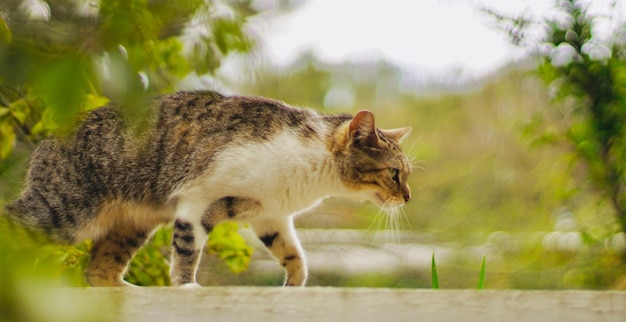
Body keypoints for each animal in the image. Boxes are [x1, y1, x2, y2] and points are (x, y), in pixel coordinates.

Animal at [6, 90, 414, 286]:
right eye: (395, 174)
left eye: (407, 174)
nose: (407, 196)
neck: (312, 176)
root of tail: (47, 137)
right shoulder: (195, 200)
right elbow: (187, 253)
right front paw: (186, 287)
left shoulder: (270, 215)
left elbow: (293, 255)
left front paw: (295, 285)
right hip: (64, 213)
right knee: (11, 221)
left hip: (132, 223)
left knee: (99, 274)